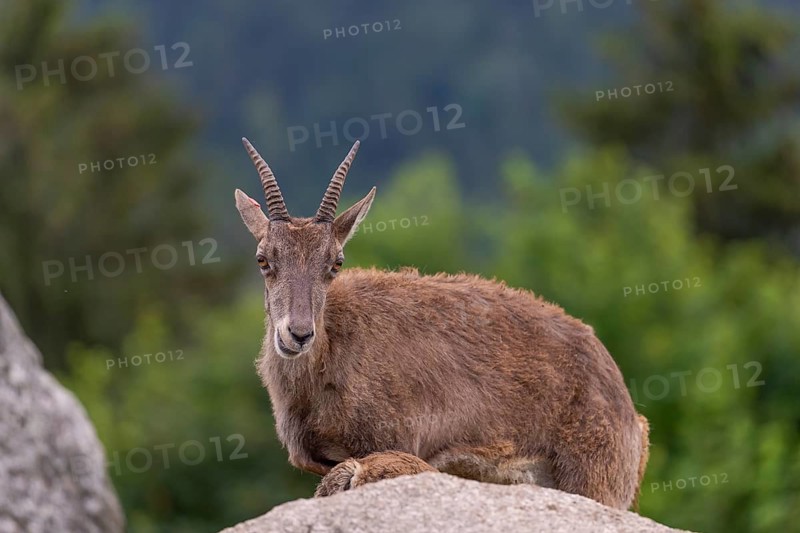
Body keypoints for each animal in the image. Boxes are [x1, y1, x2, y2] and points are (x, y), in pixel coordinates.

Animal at [234, 138, 650, 510]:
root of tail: (632, 416)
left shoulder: (395, 439)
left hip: (592, 476)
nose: (298, 334)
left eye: (336, 262)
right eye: (263, 259)